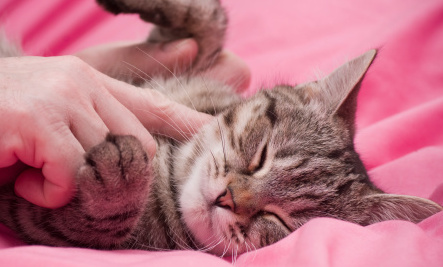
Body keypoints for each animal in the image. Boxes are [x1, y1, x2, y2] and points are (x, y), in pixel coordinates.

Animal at [0, 0, 442, 258]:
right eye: (261, 155)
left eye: (279, 220)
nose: (227, 198)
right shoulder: (185, 65)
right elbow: (206, 27)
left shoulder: (34, 215)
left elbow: (101, 218)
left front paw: (118, 179)